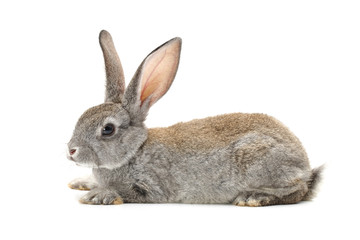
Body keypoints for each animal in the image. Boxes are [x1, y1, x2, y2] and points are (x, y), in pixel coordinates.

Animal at [67, 30, 324, 206]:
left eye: (108, 129)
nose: (71, 151)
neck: (134, 151)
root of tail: (303, 163)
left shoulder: (152, 186)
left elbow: (128, 192)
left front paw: (98, 195)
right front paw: (81, 183)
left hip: (258, 161)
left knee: (298, 189)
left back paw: (253, 197)